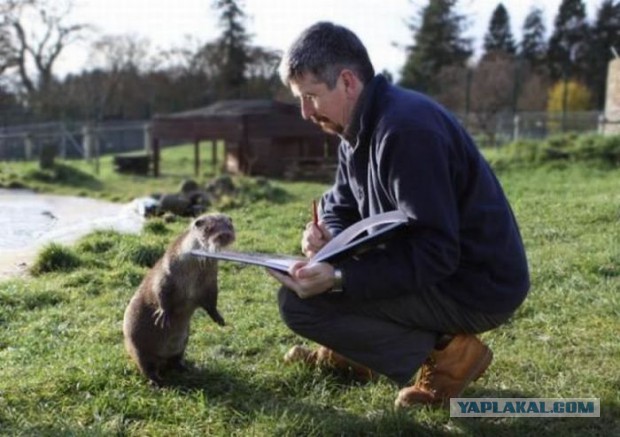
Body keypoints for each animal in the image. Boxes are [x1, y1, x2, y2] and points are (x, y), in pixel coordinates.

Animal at [121, 213, 235, 384]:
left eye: (229, 225)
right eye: (209, 228)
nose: (225, 235)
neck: (192, 274)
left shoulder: (210, 283)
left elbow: (211, 302)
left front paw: (218, 318)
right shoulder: (167, 273)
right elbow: (160, 290)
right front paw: (164, 314)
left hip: (183, 342)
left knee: (175, 359)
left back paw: (184, 368)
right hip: (138, 347)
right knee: (146, 367)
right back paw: (157, 381)